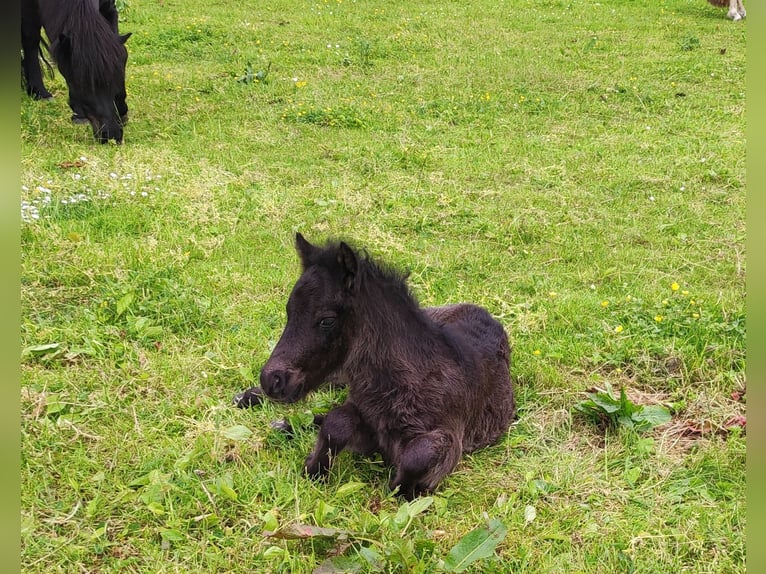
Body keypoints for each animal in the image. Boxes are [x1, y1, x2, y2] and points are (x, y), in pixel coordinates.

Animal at [260, 234, 520, 500]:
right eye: (289, 312)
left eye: (327, 320)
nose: (272, 379)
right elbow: (337, 421)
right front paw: (314, 467)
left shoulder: (449, 437)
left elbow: (418, 456)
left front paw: (404, 488)